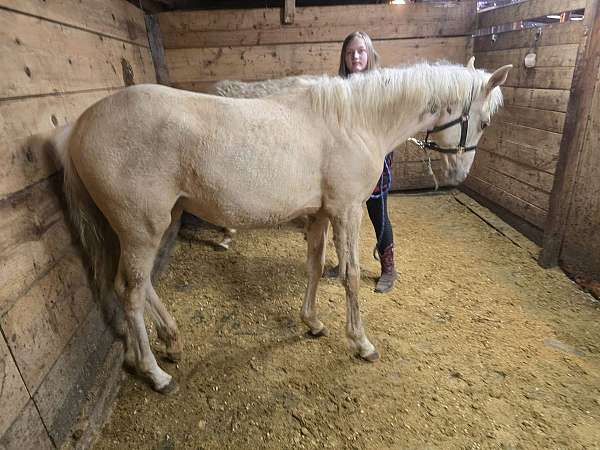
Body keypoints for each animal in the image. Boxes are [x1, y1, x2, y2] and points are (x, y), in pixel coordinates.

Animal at [52, 60, 510, 394]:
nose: (459, 174)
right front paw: (361, 343)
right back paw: (155, 373)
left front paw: (312, 323)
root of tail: (80, 127)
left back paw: (166, 341)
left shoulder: (321, 214)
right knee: (130, 292)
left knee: (132, 284)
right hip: (141, 229)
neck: (356, 122)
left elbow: (315, 267)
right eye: (484, 122)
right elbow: (350, 276)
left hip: (143, 228)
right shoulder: (347, 211)